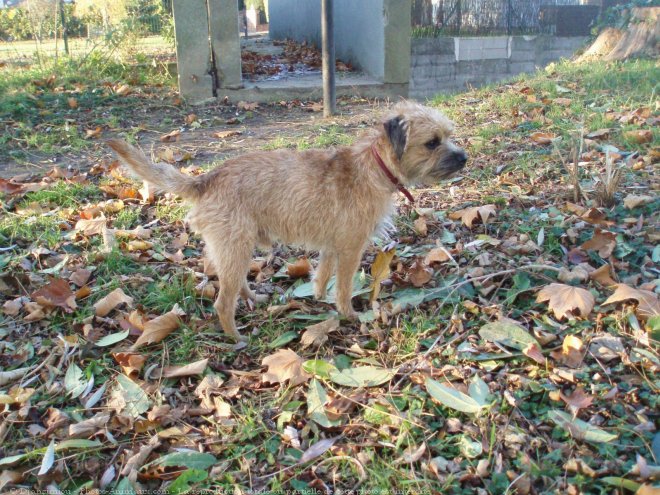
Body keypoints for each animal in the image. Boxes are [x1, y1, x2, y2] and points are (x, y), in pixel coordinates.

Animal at [108, 101, 466, 340]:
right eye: (432, 142)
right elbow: (344, 286)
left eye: (448, 135)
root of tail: (207, 179)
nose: (463, 157)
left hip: (236, 250)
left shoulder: (332, 247)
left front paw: (318, 298)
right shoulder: (350, 248)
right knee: (222, 302)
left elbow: (323, 275)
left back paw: (253, 299)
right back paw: (235, 337)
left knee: (235, 283)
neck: (373, 165)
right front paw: (349, 314)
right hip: (236, 249)